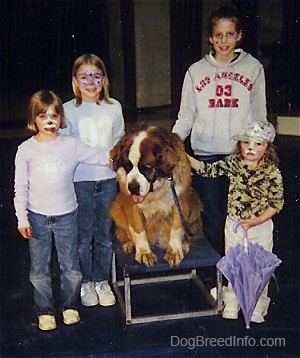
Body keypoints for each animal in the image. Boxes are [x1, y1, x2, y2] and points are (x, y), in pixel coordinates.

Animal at [110, 124, 204, 268]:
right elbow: (138, 229)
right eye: (127, 166)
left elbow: (176, 228)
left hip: (195, 202)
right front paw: (144, 252)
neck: (155, 191)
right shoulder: (132, 205)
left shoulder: (180, 200)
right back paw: (130, 244)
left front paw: (174, 251)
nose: (133, 187)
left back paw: (184, 244)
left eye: (146, 167)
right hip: (117, 207)